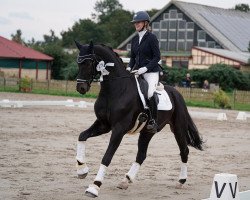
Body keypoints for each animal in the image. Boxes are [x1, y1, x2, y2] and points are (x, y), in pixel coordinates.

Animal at [74, 41, 203, 198]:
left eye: (88, 63)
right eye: (78, 62)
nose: (81, 88)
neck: (115, 89)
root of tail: (176, 93)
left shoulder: (119, 129)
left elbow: (107, 156)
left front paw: (94, 187)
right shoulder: (103, 124)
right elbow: (82, 136)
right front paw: (82, 170)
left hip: (178, 128)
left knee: (184, 151)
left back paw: (181, 181)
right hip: (147, 132)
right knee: (141, 155)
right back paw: (125, 180)